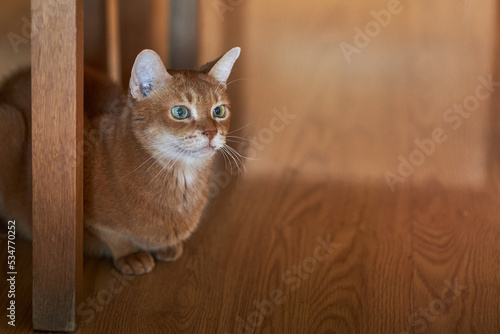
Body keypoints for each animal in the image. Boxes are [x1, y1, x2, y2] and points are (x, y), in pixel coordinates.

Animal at [0, 48, 242, 276]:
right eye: (180, 112)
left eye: (219, 111)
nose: (211, 132)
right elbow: (112, 235)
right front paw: (129, 254)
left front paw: (167, 246)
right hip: (10, 119)